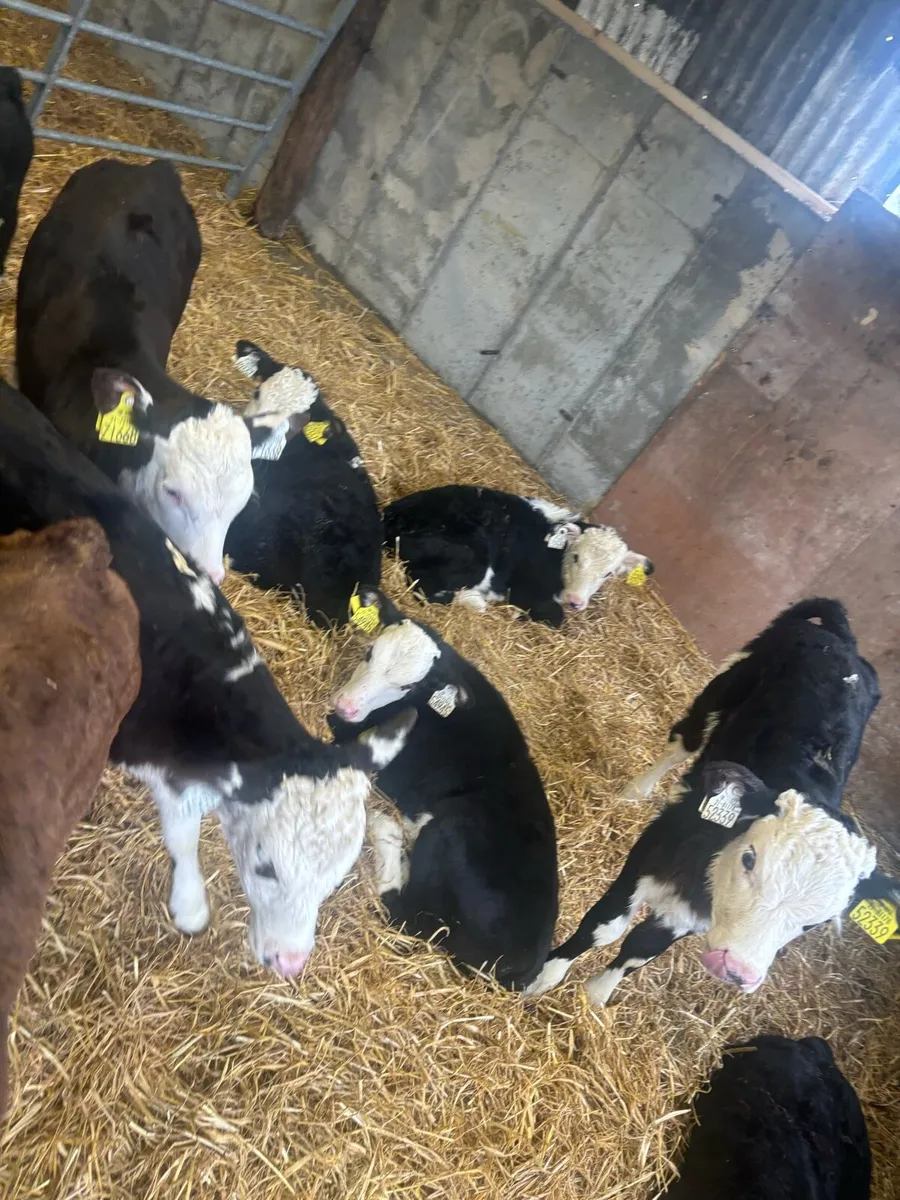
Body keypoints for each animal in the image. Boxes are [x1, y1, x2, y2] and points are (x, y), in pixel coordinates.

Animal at [328, 587, 558, 990]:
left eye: (406, 685)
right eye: (370, 653)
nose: (346, 705)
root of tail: (527, 965)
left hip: (451, 828)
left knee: (407, 915)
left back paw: (384, 830)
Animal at [382, 485, 652, 626]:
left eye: (607, 574)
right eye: (576, 557)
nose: (575, 601)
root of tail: (392, 514)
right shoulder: (526, 591)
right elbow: (555, 617)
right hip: (471, 556)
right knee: (425, 586)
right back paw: (475, 600)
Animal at [525, 599, 899, 1007]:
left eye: (818, 921)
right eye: (749, 859)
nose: (736, 969)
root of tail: (842, 641)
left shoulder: (693, 915)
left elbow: (642, 947)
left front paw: (596, 995)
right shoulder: (649, 853)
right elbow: (605, 927)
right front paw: (544, 975)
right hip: (720, 690)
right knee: (681, 744)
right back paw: (634, 792)